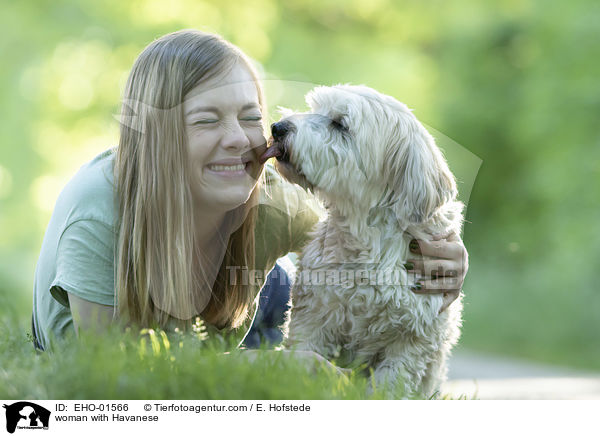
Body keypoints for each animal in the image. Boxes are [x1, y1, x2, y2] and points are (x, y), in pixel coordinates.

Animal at [258, 85, 464, 398]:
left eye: (340, 124)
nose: (278, 127)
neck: (369, 240)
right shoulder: (314, 316)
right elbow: (303, 356)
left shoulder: (411, 340)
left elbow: (391, 385)